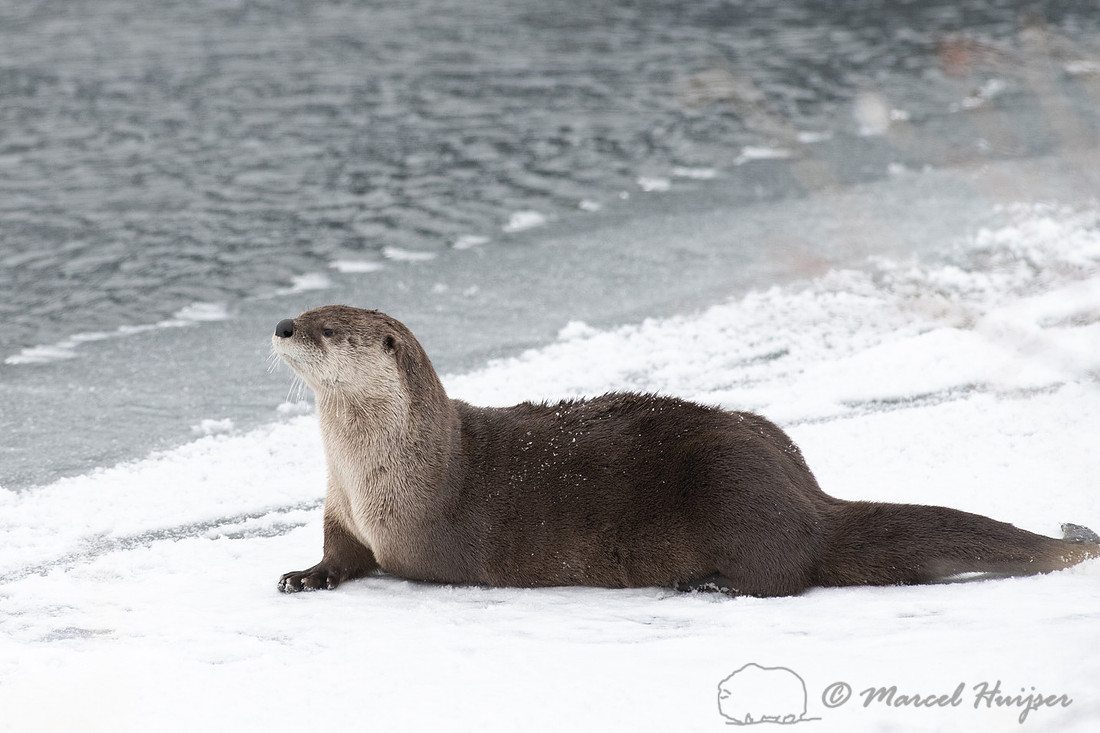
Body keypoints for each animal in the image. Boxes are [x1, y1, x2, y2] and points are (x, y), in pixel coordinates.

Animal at [271, 305, 1099, 596]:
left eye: (328, 328)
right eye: (303, 308)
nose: (280, 324)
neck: (382, 470)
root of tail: (810, 498)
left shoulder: (419, 535)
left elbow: (391, 563)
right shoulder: (340, 510)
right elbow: (338, 554)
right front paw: (305, 574)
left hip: (733, 493)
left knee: (783, 576)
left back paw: (709, 584)